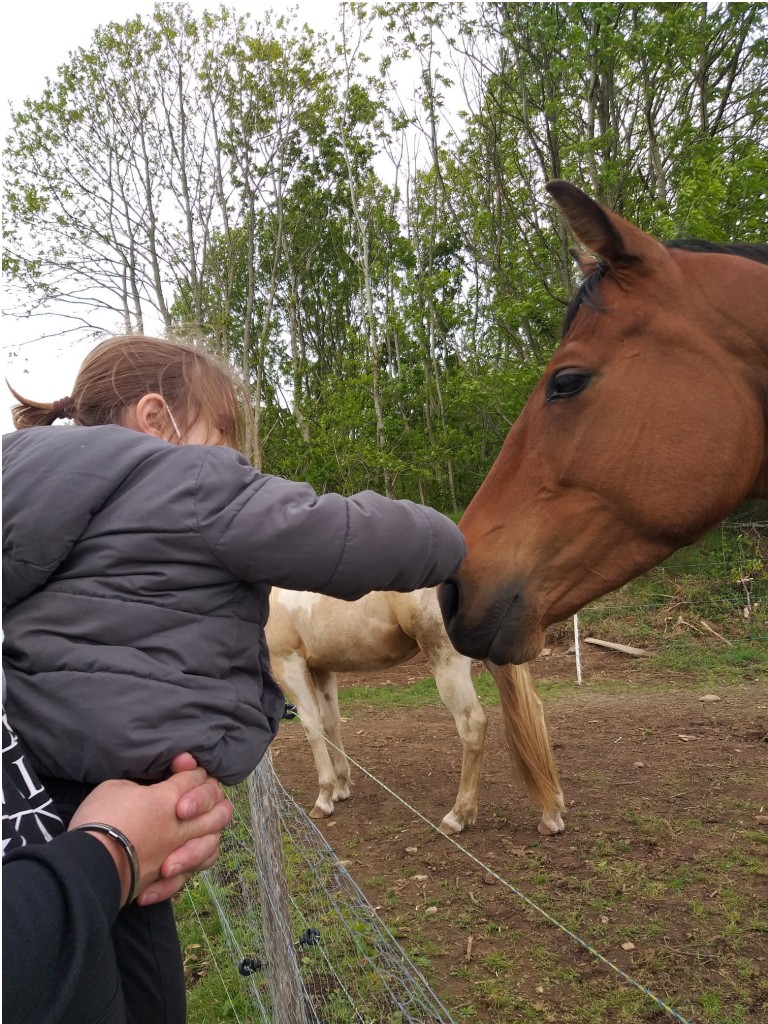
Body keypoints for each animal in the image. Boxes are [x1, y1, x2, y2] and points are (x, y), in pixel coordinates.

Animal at [266, 589, 565, 835]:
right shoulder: (321, 668)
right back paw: (551, 814)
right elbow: (331, 724)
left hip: (447, 660)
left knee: (472, 724)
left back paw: (457, 817)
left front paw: (324, 799)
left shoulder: (289, 664)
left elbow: (312, 728)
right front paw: (341, 788)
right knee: (534, 712)